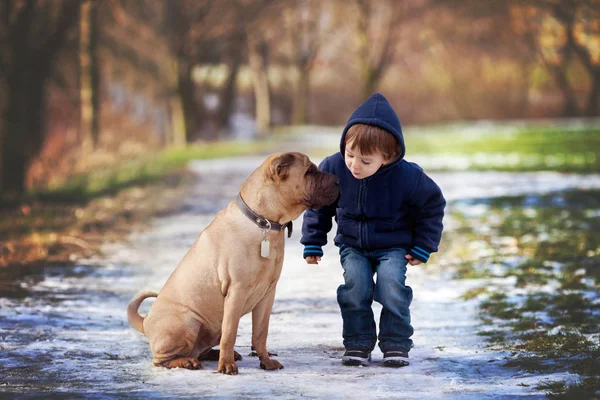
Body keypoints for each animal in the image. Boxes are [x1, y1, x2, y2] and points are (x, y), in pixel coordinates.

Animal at [127, 153, 340, 376]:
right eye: (310, 172)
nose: (338, 181)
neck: (264, 222)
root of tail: (145, 321)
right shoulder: (237, 291)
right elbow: (230, 333)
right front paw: (227, 365)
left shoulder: (267, 295)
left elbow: (260, 333)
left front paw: (266, 361)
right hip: (188, 323)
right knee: (161, 359)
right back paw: (187, 362)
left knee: (199, 350)